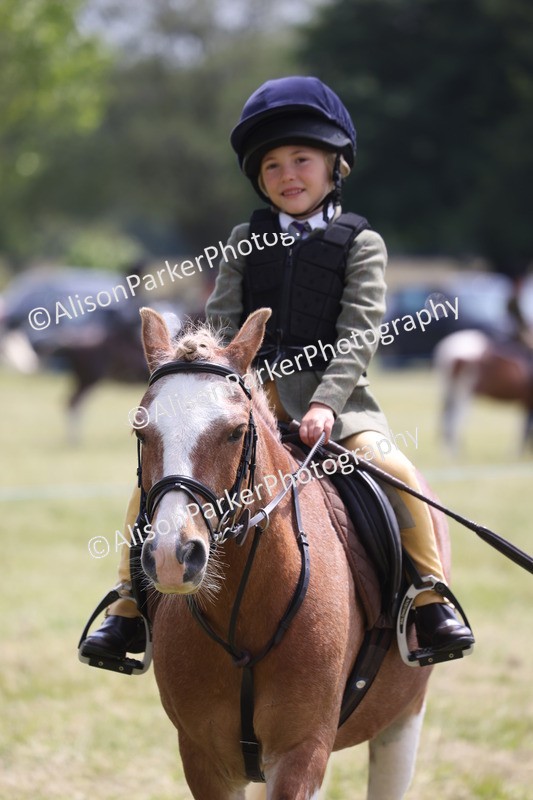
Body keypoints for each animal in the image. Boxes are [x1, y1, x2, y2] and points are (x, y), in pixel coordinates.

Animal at [136, 306, 450, 800]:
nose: (171, 556)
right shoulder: (204, 760)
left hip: (403, 720)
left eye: (234, 433)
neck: (243, 613)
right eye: (142, 431)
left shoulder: (302, 754)